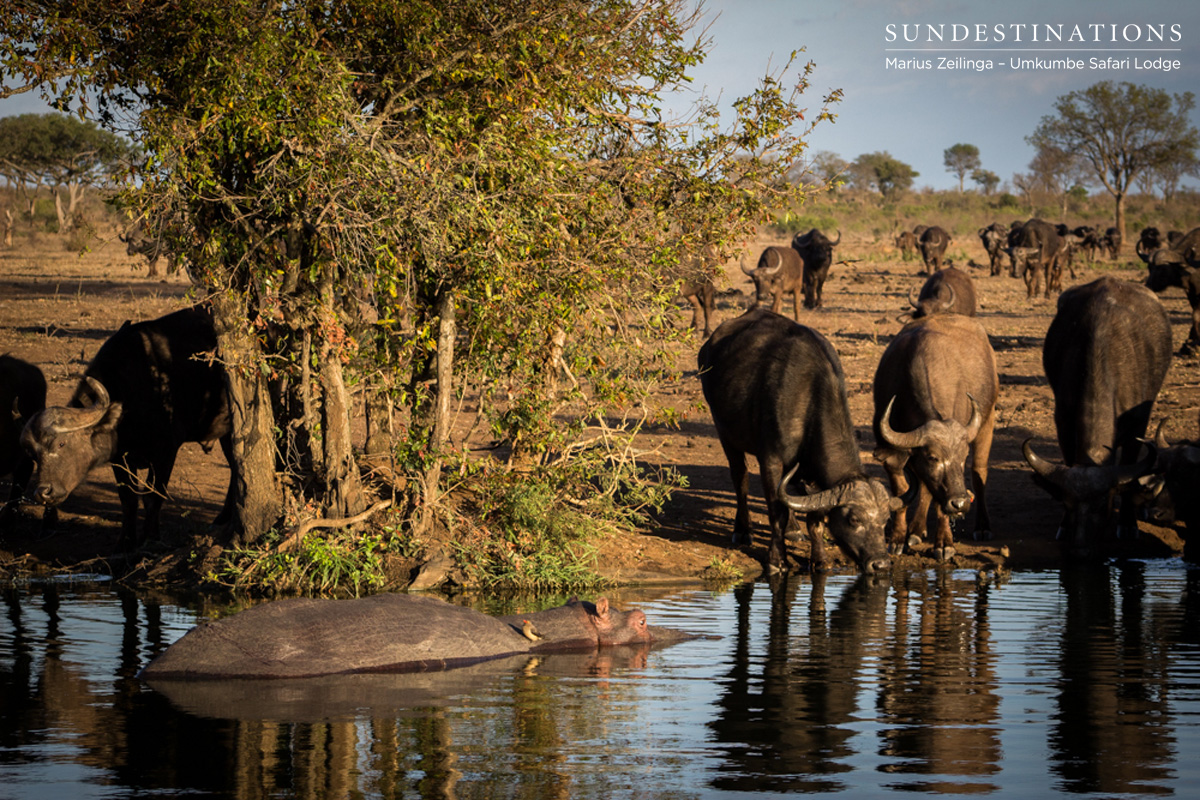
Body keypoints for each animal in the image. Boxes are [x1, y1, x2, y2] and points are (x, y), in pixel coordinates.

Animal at [21, 304, 234, 551]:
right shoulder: (120, 459)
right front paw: (126, 542)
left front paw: (151, 539)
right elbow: (128, 498)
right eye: (33, 455)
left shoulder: (166, 452)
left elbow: (153, 497)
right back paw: (222, 518)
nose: (43, 492)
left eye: (62, 443)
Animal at [696, 309, 902, 575]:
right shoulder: (770, 459)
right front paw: (777, 560)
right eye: (854, 519)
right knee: (740, 478)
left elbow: (814, 518)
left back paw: (794, 530)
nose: (881, 563)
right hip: (724, 432)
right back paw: (742, 530)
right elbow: (776, 511)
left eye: (885, 520)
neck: (807, 399)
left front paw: (819, 559)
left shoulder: (812, 471)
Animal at [868, 311, 998, 556]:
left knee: (979, 471)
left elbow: (938, 501)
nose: (960, 503)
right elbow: (903, 491)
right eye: (933, 458)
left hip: (988, 421)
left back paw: (983, 526)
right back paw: (916, 530)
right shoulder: (889, 454)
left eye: (962, 457)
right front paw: (898, 538)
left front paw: (944, 543)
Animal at [1022, 277, 1171, 551]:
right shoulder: (1063, 422)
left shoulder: (1138, 423)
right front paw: (1063, 525)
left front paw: (1128, 524)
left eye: (1103, 504)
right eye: (1067, 503)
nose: (1081, 546)